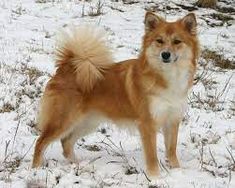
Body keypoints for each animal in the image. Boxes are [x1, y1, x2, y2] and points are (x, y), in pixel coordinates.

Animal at [32, 12, 199, 178]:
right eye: (159, 41)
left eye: (177, 41)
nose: (165, 54)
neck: (167, 76)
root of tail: (68, 66)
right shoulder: (147, 124)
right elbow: (152, 155)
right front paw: (155, 177)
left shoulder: (172, 119)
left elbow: (171, 150)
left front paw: (177, 171)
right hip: (63, 120)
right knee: (41, 142)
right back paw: (35, 169)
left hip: (88, 122)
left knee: (66, 142)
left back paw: (77, 165)